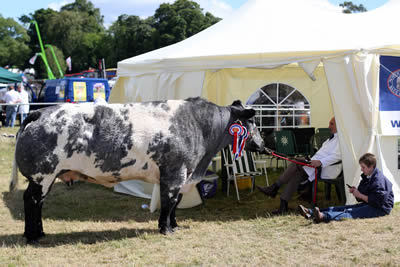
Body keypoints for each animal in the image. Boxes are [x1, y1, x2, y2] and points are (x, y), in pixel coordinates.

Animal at [7, 98, 264, 245]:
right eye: (253, 124)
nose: (263, 144)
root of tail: (40, 112)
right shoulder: (175, 173)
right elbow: (169, 202)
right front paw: (166, 228)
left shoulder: (182, 176)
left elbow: (175, 204)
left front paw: (174, 225)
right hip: (42, 176)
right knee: (31, 201)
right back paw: (32, 236)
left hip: (45, 178)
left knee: (38, 203)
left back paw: (40, 232)